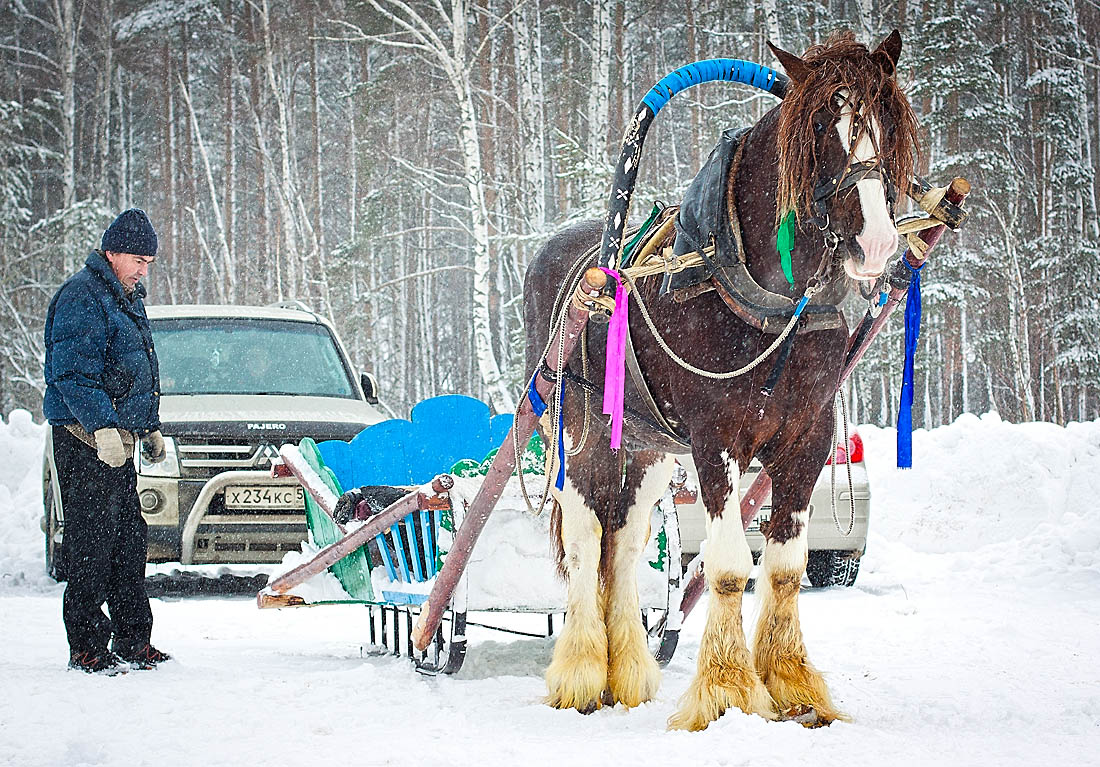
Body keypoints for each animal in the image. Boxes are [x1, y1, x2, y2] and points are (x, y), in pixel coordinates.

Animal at [519, 31, 915, 730]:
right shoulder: (717, 441)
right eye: (820, 127)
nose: (874, 243)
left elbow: (783, 569)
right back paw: (582, 672)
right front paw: (726, 692)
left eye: (888, 127)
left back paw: (628, 672)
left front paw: (793, 686)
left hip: (645, 446)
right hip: (575, 427)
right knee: (588, 534)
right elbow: (730, 567)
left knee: (624, 542)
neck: (768, 301)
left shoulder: (806, 440)